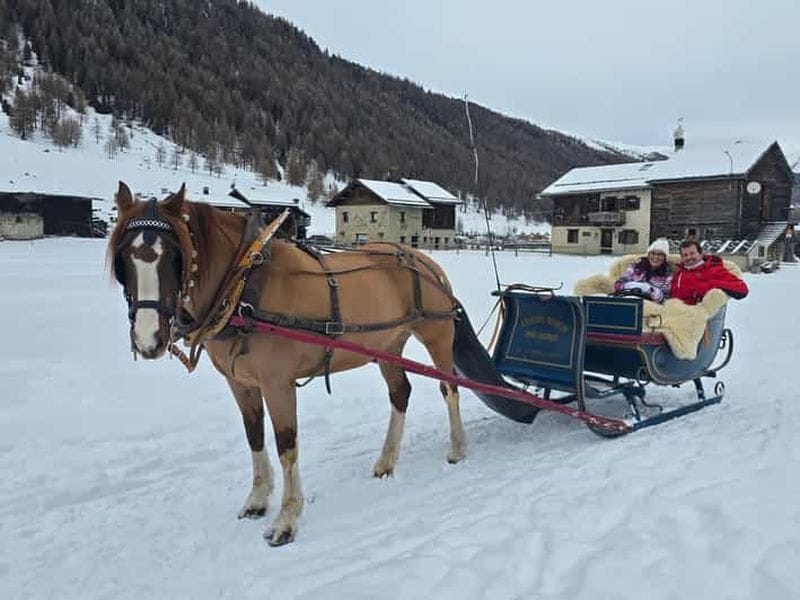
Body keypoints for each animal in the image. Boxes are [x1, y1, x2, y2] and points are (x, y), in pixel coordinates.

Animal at [108, 182, 467, 546]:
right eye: (123, 258)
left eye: (174, 256)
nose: (148, 339)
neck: (243, 288)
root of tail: (426, 261)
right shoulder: (239, 382)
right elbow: (254, 436)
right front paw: (256, 500)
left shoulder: (277, 383)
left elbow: (286, 445)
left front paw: (287, 518)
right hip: (387, 346)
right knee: (400, 394)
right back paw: (386, 461)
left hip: (437, 337)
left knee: (449, 388)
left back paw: (457, 448)